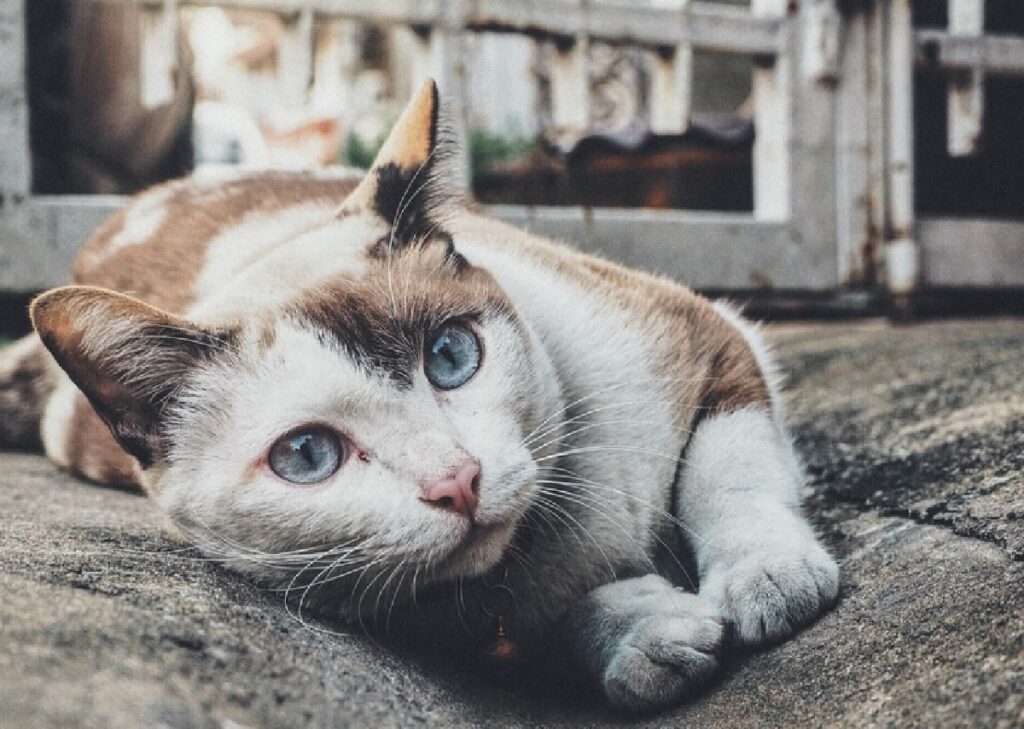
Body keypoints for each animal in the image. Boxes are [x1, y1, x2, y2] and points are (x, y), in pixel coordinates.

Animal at [0, 81, 835, 712]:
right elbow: (546, 623)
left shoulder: (702, 330)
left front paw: (768, 575)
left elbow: (727, 466)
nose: (457, 482)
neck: (553, 535)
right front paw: (640, 635)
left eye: (451, 356)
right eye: (308, 454)